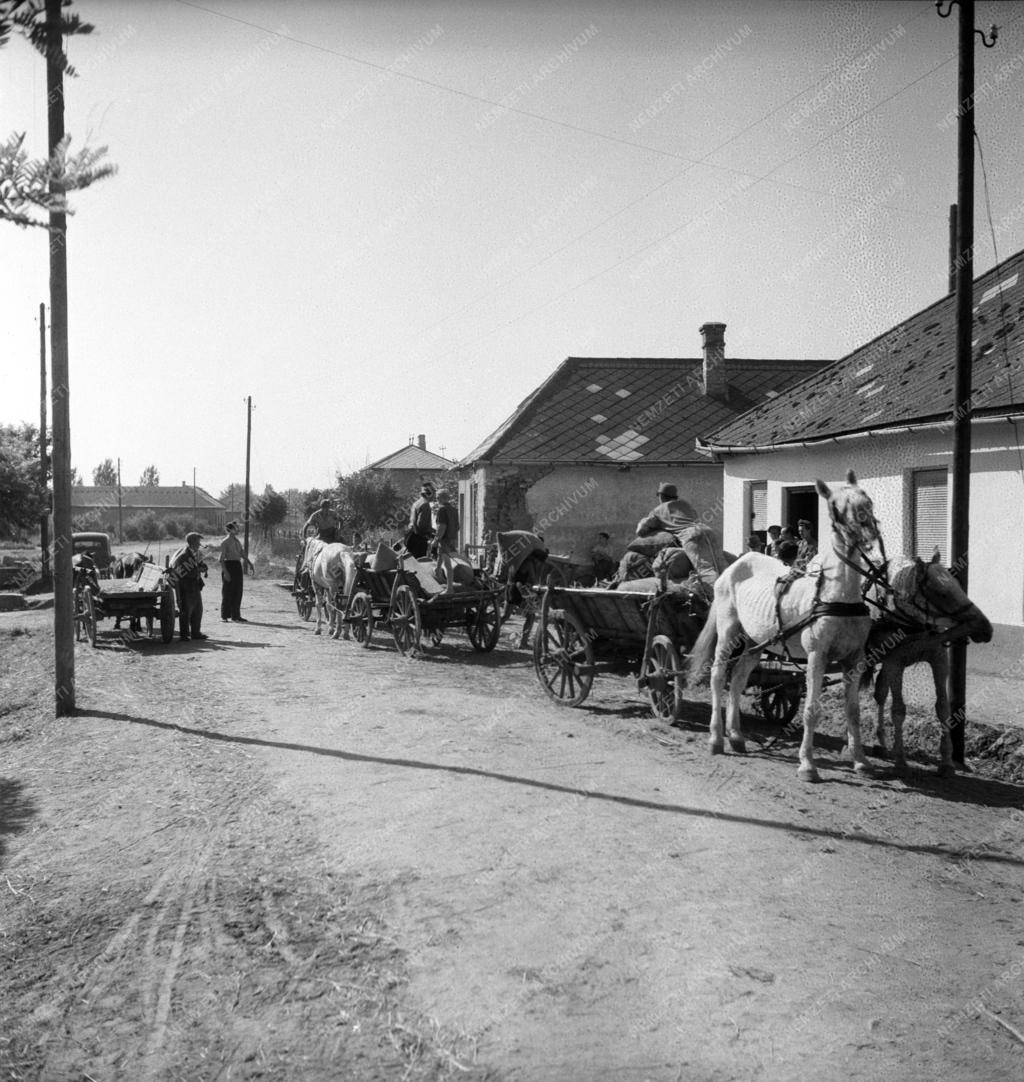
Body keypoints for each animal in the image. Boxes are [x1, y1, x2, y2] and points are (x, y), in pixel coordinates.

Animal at [688, 469, 878, 783]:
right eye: (836, 507)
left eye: (867, 500)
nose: (869, 536)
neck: (838, 595)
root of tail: (734, 566)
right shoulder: (817, 656)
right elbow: (811, 710)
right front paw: (807, 764)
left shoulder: (855, 658)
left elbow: (853, 711)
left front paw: (861, 761)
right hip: (728, 631)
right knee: (718, 676)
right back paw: (716, 739)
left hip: (754, 642)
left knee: (738, 679)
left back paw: (736, 736)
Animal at [861, 553, 991, 774]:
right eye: (943, 594)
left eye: (959, 585)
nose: (986, 627)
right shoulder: (895, 662)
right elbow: (898, 710)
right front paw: (901, 760)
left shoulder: (938, 658)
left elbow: (943, 708)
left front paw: (946, 762)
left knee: (880, 694)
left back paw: (881, 744)